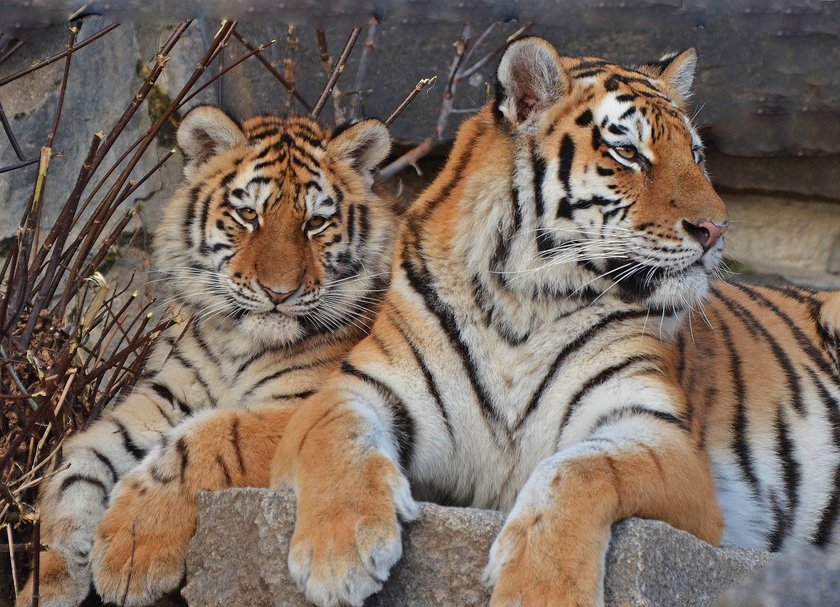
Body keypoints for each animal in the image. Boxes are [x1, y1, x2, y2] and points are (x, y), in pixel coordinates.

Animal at [15, 105, 398, 607]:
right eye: (248, 214)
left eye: (315, 223)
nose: (279, 293)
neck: (236, 344)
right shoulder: (157, 401)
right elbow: (72, 471)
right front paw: (46, 584)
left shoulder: (301, 406)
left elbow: (208, 438)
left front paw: (132, 549)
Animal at [82, 36, 836, 607]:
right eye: (629, 153)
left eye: (697, 156)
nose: (716, 229)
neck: (527, 298)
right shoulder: (355, 391)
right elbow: (334, 441)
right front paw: (338, 551)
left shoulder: (661, 441)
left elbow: (576, 471)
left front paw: (542, 591)